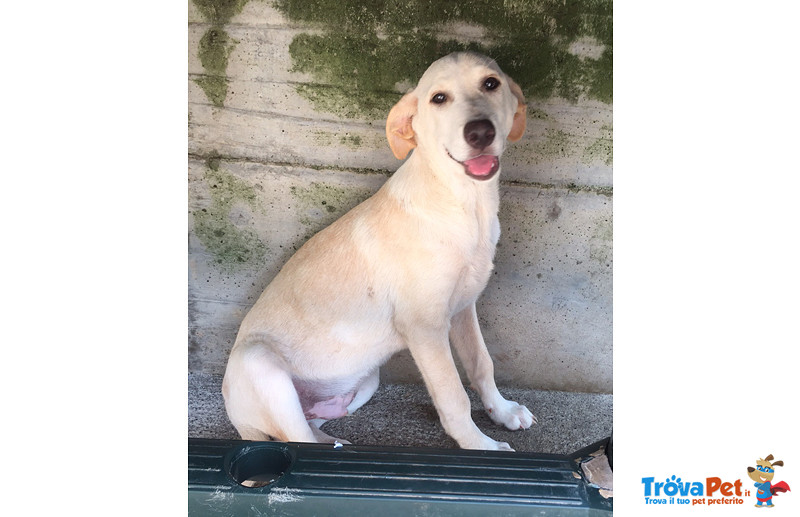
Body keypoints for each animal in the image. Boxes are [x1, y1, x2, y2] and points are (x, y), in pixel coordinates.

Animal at [225, 50, 536, 450]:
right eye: (438, 98)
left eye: (491, 83)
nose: (480, 132)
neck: (464, 203)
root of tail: (237, 418)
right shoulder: (424, 326)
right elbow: (454, 396)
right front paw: (480, 447)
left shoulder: (463, 308)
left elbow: (482, 364)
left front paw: (503, 411)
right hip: (260, 364)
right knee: (294, 439)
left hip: (365, 381)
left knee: (311, 430)